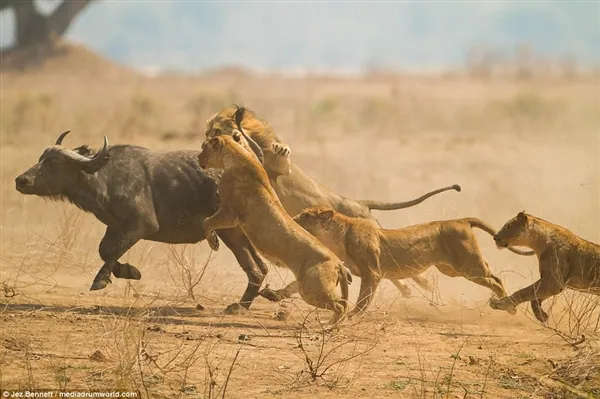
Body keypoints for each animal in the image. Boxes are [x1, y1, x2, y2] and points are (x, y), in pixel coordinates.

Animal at [15, 131, 268, 312]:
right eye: (40, 159)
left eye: (53, 163)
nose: (21, 180)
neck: (105, 178)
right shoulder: (114, 226)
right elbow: (105, 250)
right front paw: (129, 271)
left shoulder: (141, 226)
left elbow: (112, 251)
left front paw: (101, 280)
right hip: (242, 233)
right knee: (261, 267)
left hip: (230, 232)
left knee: (255, 268)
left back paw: (239, 306)